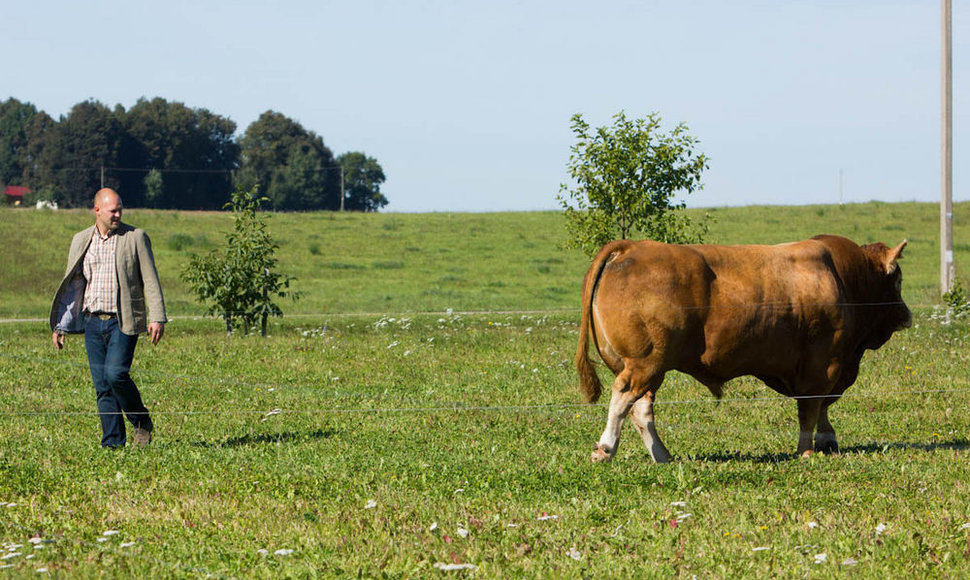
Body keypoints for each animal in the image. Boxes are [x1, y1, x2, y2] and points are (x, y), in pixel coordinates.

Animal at [580, 234, 912, 462]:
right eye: (897, 279)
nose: (907, 314)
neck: (843, 278)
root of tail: (635, 246)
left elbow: (821, 407)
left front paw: (827, 440)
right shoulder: (823, 362)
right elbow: (811, 406)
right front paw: (806, 451)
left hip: (647, 367)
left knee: (641, 409)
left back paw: (662, 456)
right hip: (645, 362)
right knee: (624, 397)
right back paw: (606, 448)